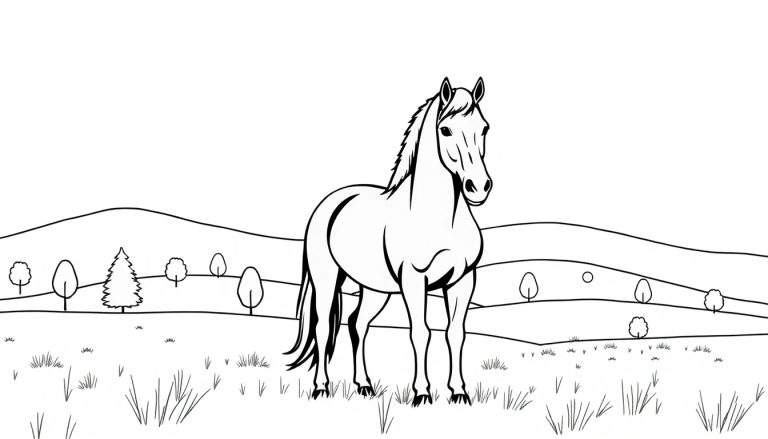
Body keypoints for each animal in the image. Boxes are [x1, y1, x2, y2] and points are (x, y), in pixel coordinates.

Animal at [286, 77, 492, 406]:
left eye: (484, 128)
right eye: (445, 129)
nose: (479, 187)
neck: (439, 218)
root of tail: (331, 201)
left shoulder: (463, 280)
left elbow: (455, 333)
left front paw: (459, 392)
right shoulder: (414, 280)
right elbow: (421, 333)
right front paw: (422, 393)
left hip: (375, 289)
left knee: (357, 324)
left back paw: (364, 386)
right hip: (326, 278)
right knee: (322, 328)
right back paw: (321, 387)